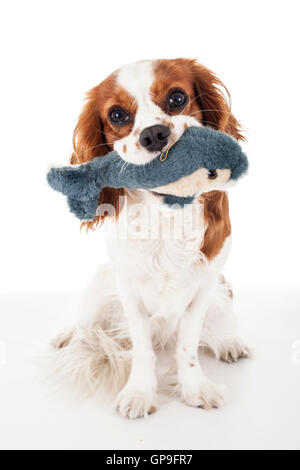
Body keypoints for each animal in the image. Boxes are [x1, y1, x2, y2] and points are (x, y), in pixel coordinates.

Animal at [52, 58, 251, 418]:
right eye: (117, 115)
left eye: (177, 98)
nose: (154, 134)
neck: (166, 214)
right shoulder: (128, 288)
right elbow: (142, 346)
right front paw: (140, 392)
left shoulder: (205, 285)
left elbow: (188, 343)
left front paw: (194, 388)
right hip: (101, 282)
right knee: (85, 319)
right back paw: (67, 334)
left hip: (222, 291)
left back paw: (229, 341)